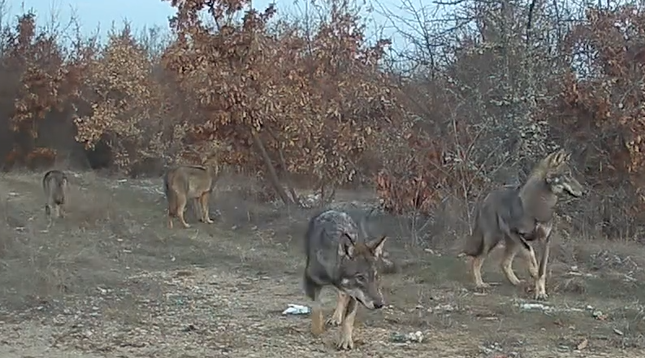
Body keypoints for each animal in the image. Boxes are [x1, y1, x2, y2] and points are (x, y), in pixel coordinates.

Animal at [304, 208, 388, 352]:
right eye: (360, 277)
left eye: (376, 276)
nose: (379, 304)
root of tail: (335, 211)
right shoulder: (311, 281)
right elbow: (316, 307)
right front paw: (317, 330)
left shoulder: (355, 295)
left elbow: (348, 319)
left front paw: (346, 341)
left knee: (342, 295)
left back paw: (336, 318)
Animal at [458, 150, 584, 300]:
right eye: (567, 174)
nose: (584, 191)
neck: (539, 205)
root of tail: (488, 197)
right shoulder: (518, 235)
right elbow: (531, 257)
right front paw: (534, 274)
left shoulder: (545, 240)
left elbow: (542, 271)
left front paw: (541, 292)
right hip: (494, 240)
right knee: (476, 261)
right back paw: (480, 285)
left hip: (512, 244)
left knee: (504, 263)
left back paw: (517, 282)